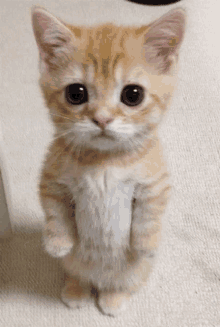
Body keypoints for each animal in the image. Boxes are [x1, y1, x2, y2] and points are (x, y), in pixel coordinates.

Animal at [31, 5, 186, 318]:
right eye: (76, 93)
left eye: (133, 94)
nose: (102, 118)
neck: (104, 161)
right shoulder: (52, 177)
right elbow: (55, 211)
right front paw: (57, 242)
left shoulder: (155, 182)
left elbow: (150, 214)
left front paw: (146, 243)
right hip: (74, 265)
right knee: (77, 273)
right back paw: (76, 290)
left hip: (135, 273)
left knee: (121, 283)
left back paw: (112, 299)